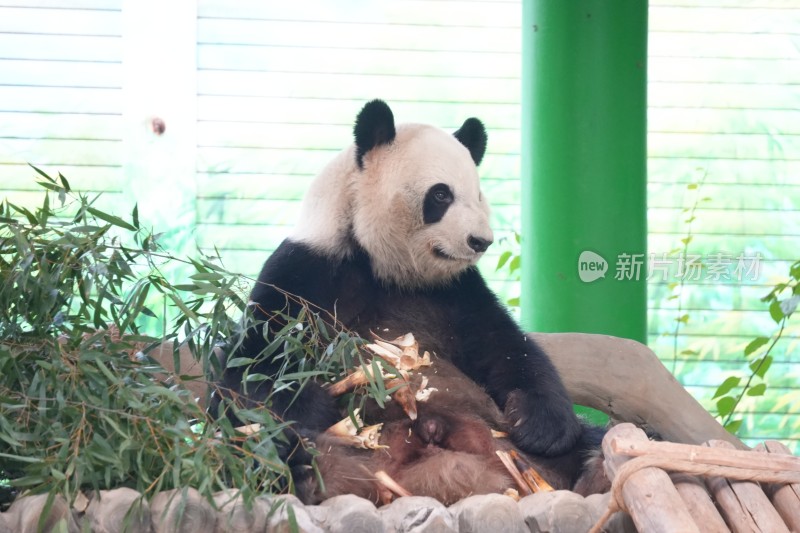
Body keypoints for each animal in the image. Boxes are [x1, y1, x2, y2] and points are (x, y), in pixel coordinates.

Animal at [219, 100, 608, 502]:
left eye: (478, 196)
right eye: (441, 195)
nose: (480, 241)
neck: (385, 266)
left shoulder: (458, 291)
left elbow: (507, 348)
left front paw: (539, 425)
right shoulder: (306, 270)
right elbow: (254, 360)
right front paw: (313, 405)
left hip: (509, 442)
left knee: (593, 438)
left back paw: (596, 472)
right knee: (257, 447)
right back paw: (306, 471)